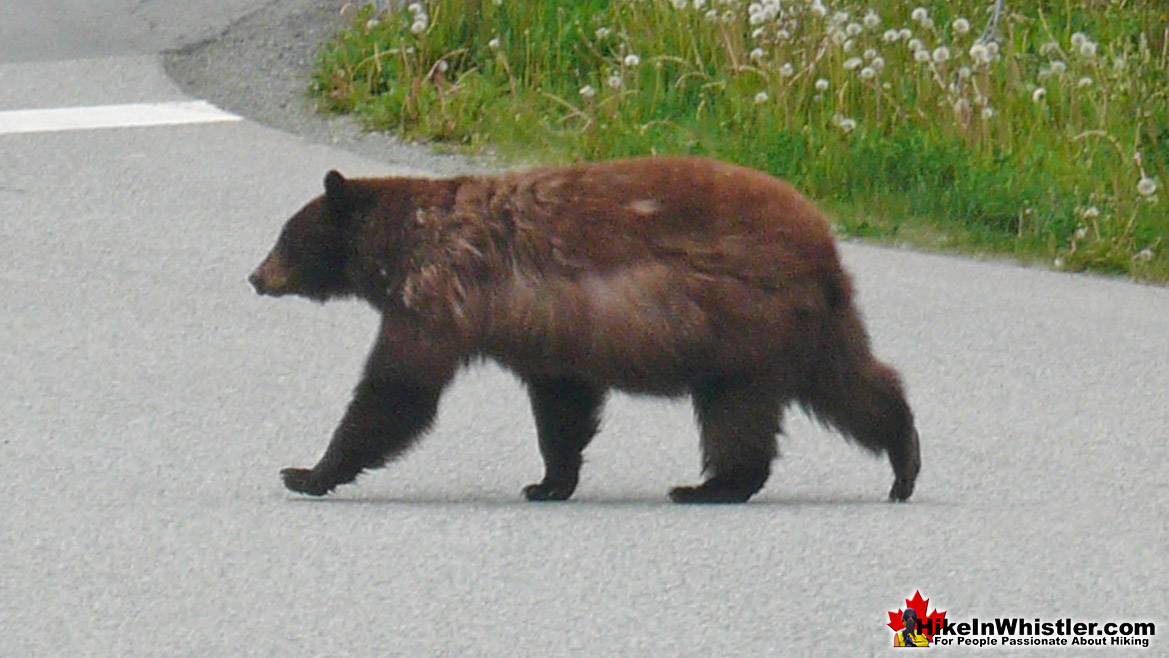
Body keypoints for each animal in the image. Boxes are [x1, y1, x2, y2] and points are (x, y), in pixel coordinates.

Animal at [248, 155, 921, 504]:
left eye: (285, 237)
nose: (255, 276)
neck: (402, 240)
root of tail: (824, 242)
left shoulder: (441, 291)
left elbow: (397, 389)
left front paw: (309, 472)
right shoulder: (548, 329)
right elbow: (562, 403)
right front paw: (549, 481)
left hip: (743, 323)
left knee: (738, 412)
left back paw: (710, 486)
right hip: (807, 327)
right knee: (852, 383)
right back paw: (903, 462)